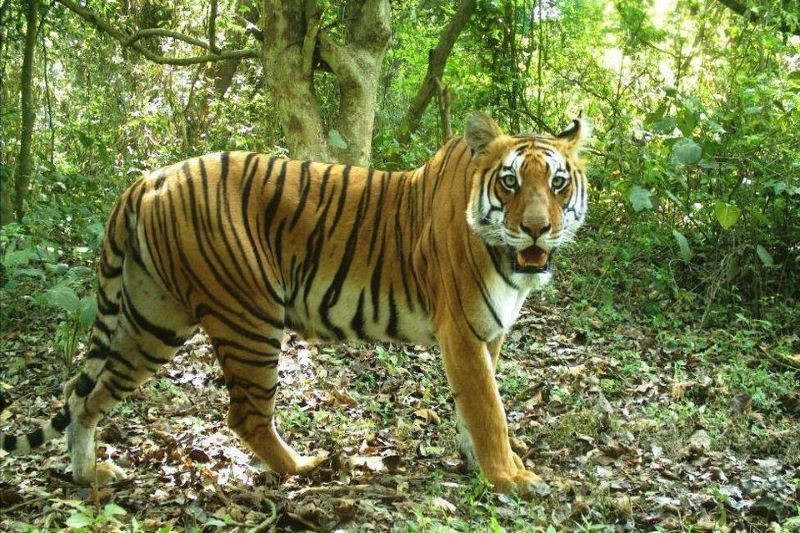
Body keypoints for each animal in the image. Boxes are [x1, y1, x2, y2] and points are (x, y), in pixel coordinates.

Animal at [0, 112, 588, 495]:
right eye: (509, 182)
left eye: (558, 183)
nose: (537, 229)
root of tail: (149, 178)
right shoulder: (462, 331)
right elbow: (490, 411)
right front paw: (512, 479)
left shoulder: (488, 333)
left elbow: (476, 406)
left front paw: (479, 464)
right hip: (249, 316)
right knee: (244, 414)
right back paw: (304, 468)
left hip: (151, 321)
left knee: (84, 395)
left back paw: (88, 474)